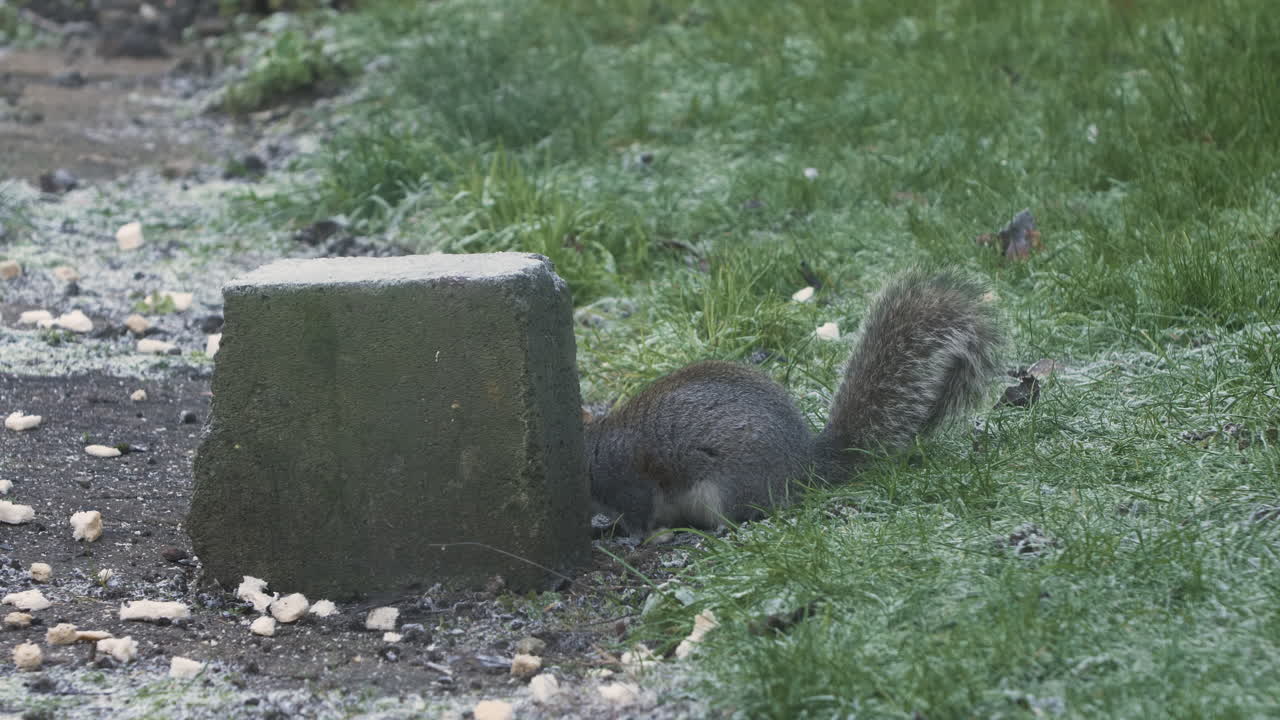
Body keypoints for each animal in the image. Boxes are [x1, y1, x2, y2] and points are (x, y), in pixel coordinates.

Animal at [586, 269, 1005, 536]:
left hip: (727, 488)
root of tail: (805, 466)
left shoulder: (629, 481)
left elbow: (641, 517)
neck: (593, 448)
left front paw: (630, 537)